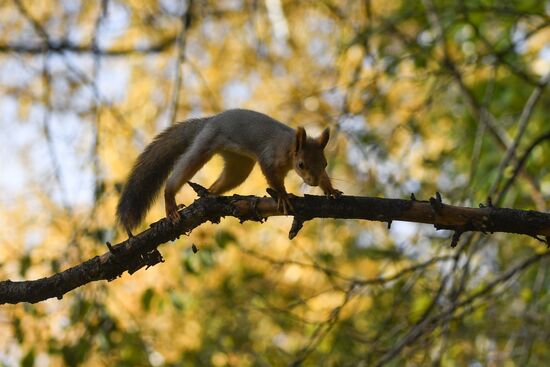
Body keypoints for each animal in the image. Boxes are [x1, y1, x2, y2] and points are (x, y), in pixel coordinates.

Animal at [116, 108, 340, 237]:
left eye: (325, 163)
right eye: (301, 164)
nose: (313, 181)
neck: (288, 146)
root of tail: (209, 120)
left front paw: (330, 189)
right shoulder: (269, 157)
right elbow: (272, 177)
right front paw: (283, 196)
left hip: (239, 164)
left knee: (221, 183)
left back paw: (209, 196)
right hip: (206, 143)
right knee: (180, 173)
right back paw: (171, 202)